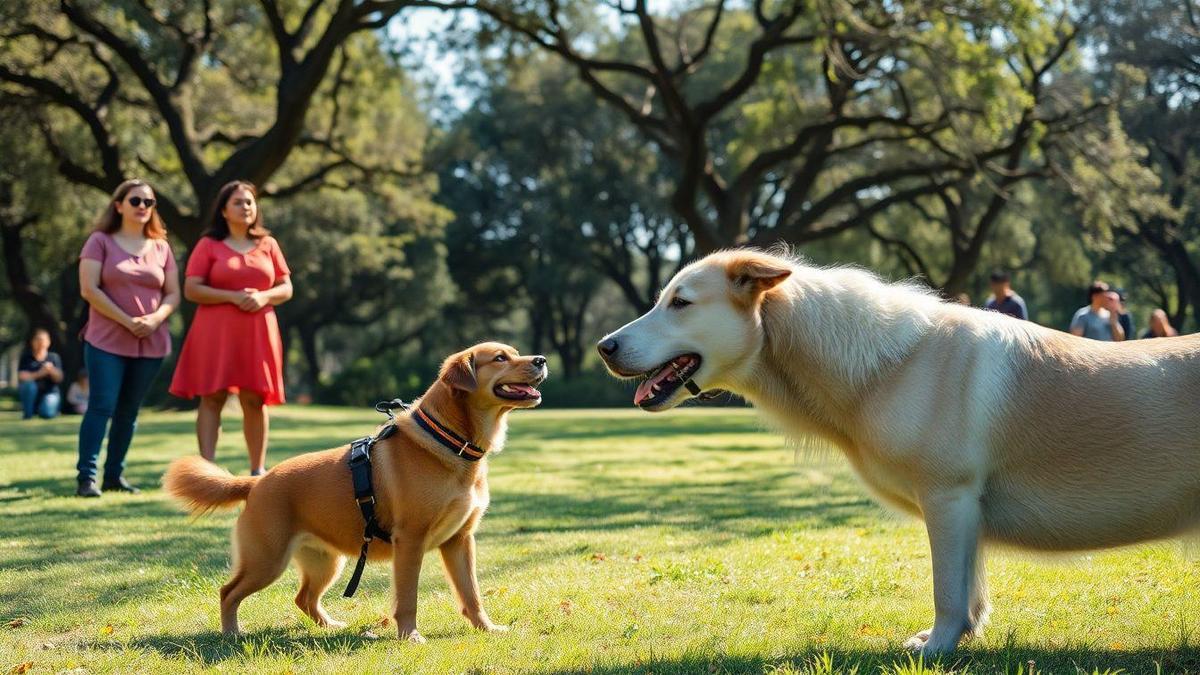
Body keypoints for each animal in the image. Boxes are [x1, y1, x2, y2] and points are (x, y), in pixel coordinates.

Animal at [164, 343, 549, 638]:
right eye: (499, 357)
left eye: (515, 352)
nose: (541, 359)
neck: (449, 441)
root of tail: (256, 482)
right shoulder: (410, 542)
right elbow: (407, 598)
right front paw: (410, 636)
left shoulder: (460, 541)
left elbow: (472, 594)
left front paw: (488, 629)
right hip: (266, 560)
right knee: (228, 592)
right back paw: (232, 633)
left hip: (325, 562)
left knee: (303, 598)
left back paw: (329, 625)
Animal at [597, 247, 1200, 653]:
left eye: (680, 303)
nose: (603, 347)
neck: (891, 366)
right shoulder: (966, 513)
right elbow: (970, 590)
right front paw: (958, 639)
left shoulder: (948, 498)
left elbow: (948, 591)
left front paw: (938, 648)